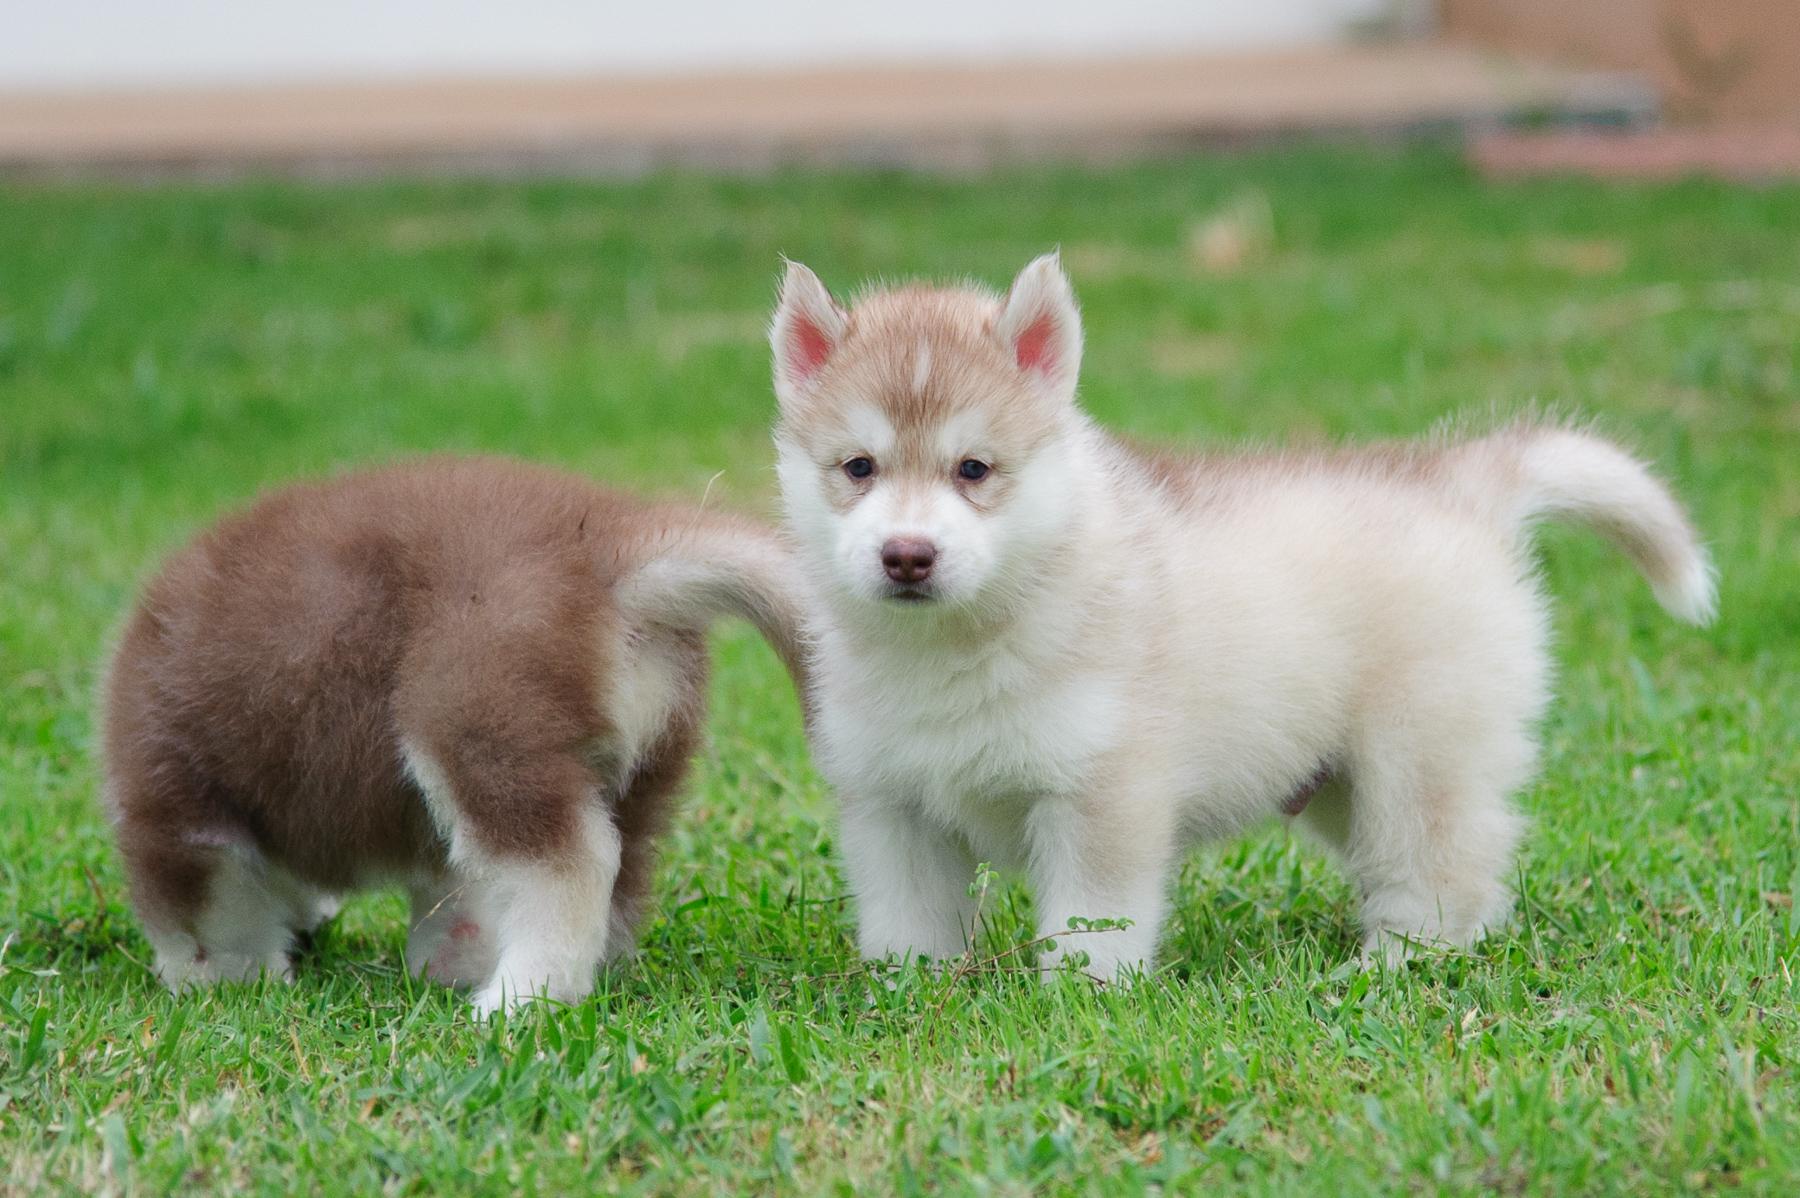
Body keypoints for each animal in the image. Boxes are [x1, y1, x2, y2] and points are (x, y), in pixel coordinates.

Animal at [103, 456, 805, 1013]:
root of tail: (611, 548)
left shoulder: (180, 809)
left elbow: (208, 914)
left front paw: (221, 979)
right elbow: (453, 889)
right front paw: (446, 957)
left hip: (468, 715)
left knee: (570, 861)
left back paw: (521, 997)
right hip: (647, 759)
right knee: (622, 866)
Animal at [769, 252, 1715, 980]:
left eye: (973, 469)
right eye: (858, 467)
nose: (907, 555)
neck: (955, 647)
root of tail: (1458, 481)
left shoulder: (1104, 792)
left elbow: (1093, 920)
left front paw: (1081, 999)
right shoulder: (891, 805)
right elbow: (908, 920)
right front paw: (909, 992)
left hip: (1419, 762)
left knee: (1446, 868)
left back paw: (1397, 967)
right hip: (1338, 784)